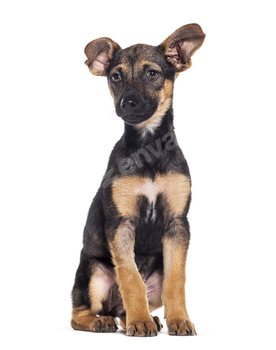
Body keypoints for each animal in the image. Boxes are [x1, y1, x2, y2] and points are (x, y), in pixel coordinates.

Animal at [71, 23, 205, 336]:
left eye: (152, 74)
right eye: (115, 77)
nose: (127, 103)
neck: (148, 148)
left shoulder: (177, 224)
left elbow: (176, 280)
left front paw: (180, 319)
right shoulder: (121, 224)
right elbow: (130, 277)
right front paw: (140, 322)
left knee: (126, 308)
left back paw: (147, 318)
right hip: (94, 272)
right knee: (80, 313)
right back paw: (104, 321)